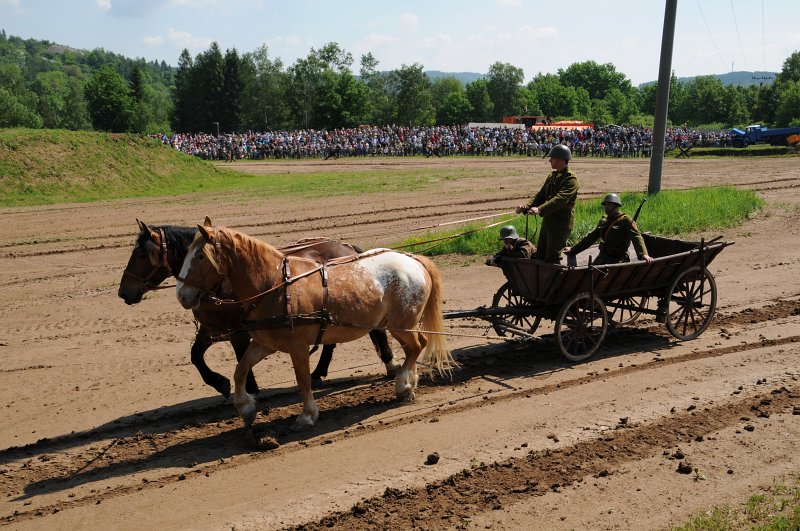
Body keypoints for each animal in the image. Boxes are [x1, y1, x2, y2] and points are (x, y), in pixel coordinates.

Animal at [117, 220, 398, 400]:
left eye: (141, 255)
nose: (123, 292)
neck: (222, 281)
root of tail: (347, 247)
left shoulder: (239, 329)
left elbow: (240, 357)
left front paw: (248, 389)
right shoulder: (211, 327)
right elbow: (196, 355)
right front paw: (220, 383)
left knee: (372, 331)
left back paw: (387, 363)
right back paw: (320, 371)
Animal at [176, 220, 454, 432]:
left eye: (199, 256)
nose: (181, 295)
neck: (274, 285)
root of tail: (412, 258)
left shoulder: (297, 345)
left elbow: (303, 380)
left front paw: (307, 415)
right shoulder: (264, 343)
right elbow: (240, 369)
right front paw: (245, 406)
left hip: (402, 324)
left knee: (418, 345)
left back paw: (403, 383)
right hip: (398, 325)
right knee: (413, 349)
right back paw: (409, 383)